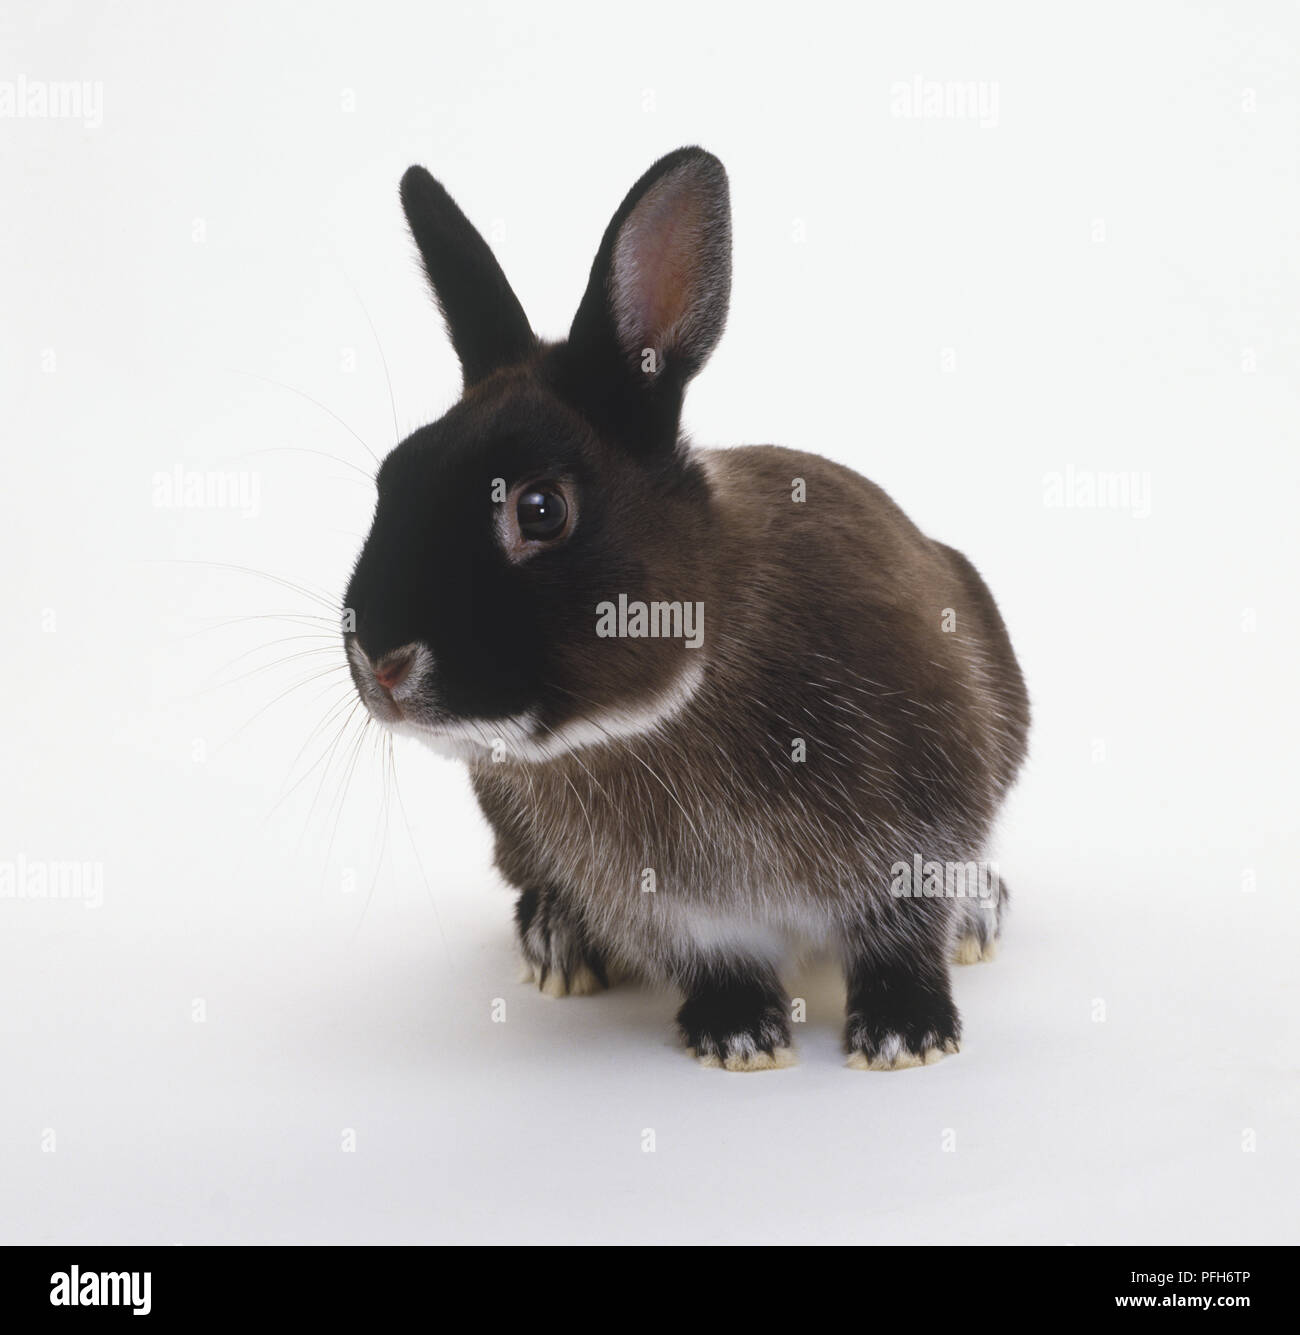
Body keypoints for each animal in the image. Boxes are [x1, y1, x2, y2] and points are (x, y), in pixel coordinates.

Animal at [343, 147, 1030, 1071]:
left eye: (539, 509)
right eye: (391, 478)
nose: (379, 661)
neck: (658, 719)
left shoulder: (926, 817)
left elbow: (903, 928)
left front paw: (905, 1033)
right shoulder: (669, 909)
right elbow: (716, 956)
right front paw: (737, 1034)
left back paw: (982, 917)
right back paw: (557, 944)